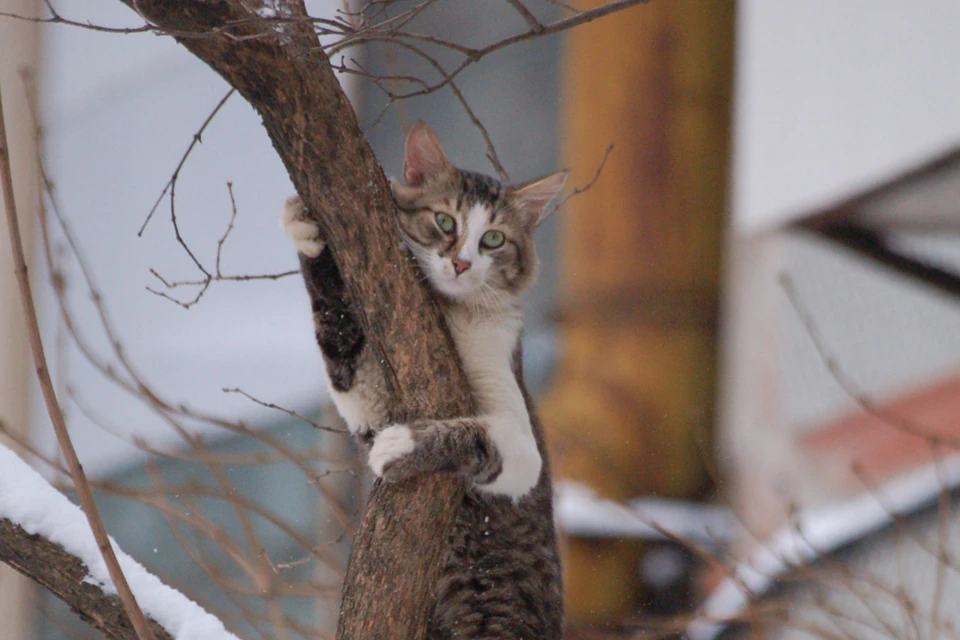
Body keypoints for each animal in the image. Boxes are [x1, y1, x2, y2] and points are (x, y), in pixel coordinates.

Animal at [282, 121, 568, 640]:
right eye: (445, 223)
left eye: (493, 239)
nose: (461, 264)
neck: (450, 314)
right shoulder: (365, 394)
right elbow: (337, 329)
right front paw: (311, 235)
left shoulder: (523, 448)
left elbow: (475, 434)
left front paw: (401, 447)